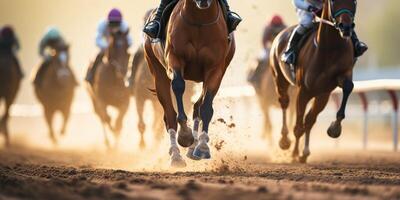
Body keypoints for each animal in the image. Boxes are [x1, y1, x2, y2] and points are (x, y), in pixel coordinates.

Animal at [145, 0, 236, 166]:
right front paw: (185, 135)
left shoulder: (215, 70)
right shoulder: (174, 59)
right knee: (169, 114)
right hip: (156, 70)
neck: (200, 20)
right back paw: (176, 154)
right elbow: (178, 85)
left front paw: (202, 146)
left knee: (197, 106)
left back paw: (193, 146)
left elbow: (206, 107)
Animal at [270, 0, 358, 162]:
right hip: (279, 79)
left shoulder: (327, 90)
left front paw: (335, 127)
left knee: (309, 119)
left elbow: (348, 86)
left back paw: (303, 152)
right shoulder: (303, 91)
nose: (346, 27)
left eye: (354, 1)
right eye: (333, 1)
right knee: (284, 102)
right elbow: (299, 125)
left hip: (319, 95)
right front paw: (294, 154)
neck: (329, 50)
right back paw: (285, 140)